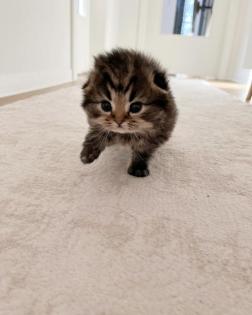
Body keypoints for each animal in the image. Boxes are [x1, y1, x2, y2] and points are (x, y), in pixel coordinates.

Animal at [80, 49, 177, 178]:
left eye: (136, 107)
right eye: (105, 106)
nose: (119, 121)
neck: (124, 135)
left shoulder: (159, 131)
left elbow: (143, 147)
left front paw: (138, 166)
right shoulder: (96, 123)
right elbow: (97, 131)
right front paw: (88, 151)